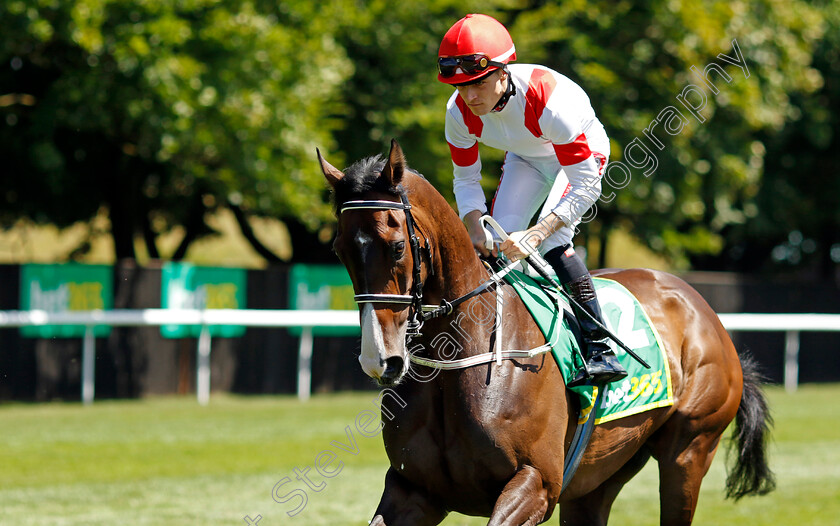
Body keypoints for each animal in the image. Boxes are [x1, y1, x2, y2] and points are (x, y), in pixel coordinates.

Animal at [318, 138, 776, 524]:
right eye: (339, 250)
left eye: (396, 246)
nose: (380, 359)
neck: (460, 360)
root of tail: (699, 306)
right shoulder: (412, 488)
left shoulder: (536, 483)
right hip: (598, 476)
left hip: (689, 450)